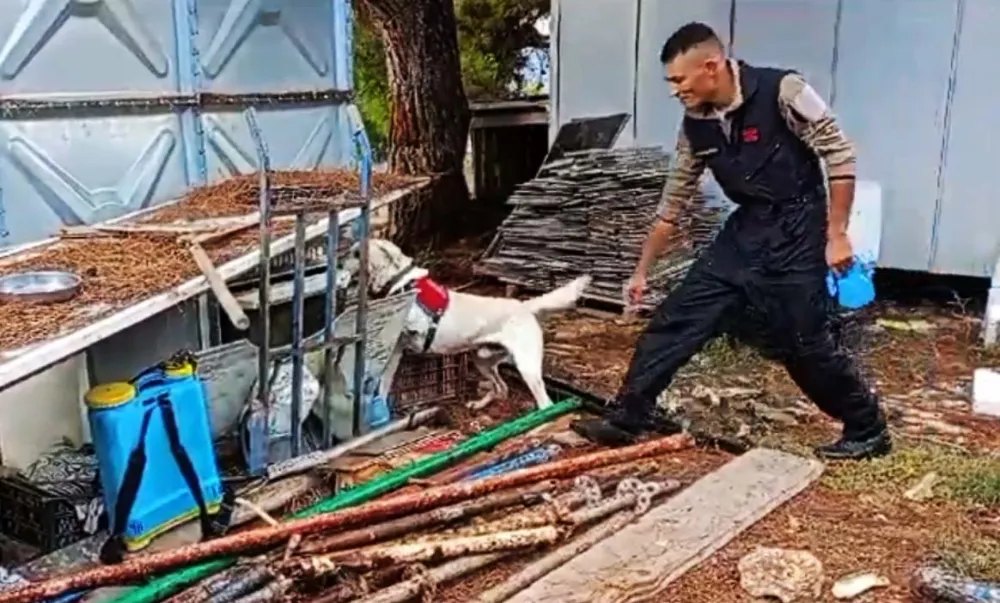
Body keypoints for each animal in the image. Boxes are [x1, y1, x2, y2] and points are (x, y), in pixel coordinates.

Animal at [356, 238, 588, 412]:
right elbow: (383, 383)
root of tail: (524, 306)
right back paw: (479, 405)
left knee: (544, 403)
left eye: (359, 251)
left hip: (526, 367)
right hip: (482, 361)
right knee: (501, 388)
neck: (402, 281)